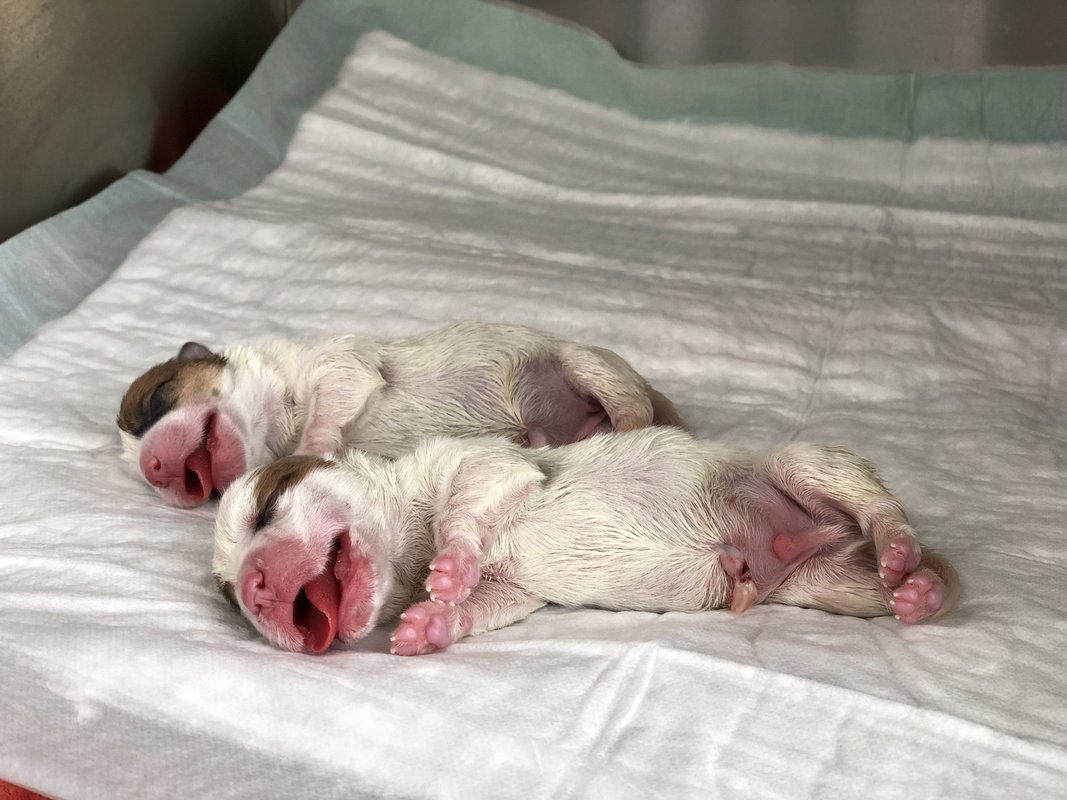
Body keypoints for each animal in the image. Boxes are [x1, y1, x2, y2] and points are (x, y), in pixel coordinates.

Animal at [117, 321, 684, 507]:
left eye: (158, 398)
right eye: (143, 476)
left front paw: (310, 449)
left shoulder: (340, 366)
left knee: (631, 409)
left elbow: (330, 407)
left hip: (589, 367)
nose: (153, 468)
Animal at [211, 428, 960, 655]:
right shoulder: (515, 593)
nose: (254, 587)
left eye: (268, 505)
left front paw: (448, 570)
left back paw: (901, 552)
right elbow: (483, 608)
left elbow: (468, 502)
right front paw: (427, 624)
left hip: (805, 466)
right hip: (829, 583)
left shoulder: (484, 463)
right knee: (884, 582)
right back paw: (919, 591)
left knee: (878, 508)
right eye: (227, 598)